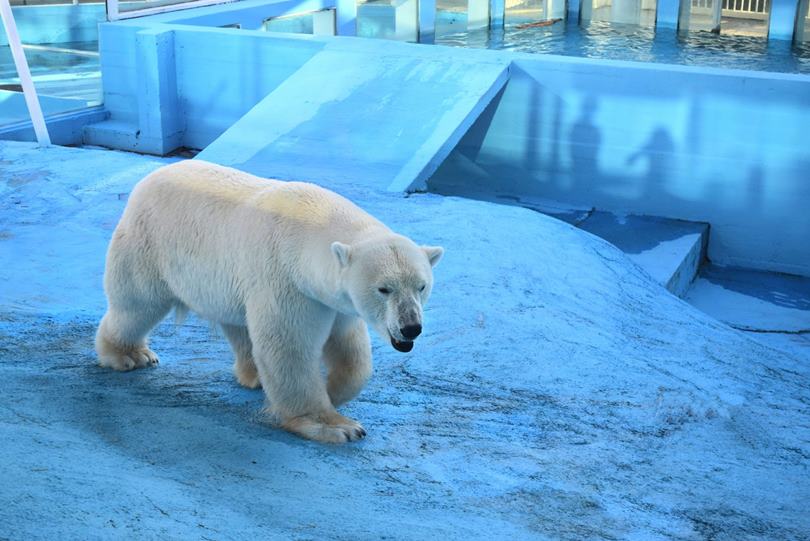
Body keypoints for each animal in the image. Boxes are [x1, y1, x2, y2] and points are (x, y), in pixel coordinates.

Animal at [98, 160, 446, 442]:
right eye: (384, 289)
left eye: (421, 286)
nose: (411, 327)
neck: (308, 230)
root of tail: (147, 179)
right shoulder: (285, 278)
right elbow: (289, 346)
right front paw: (336, 426)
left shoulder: (332, 298)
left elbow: (351, 349)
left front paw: (332, 389)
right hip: (149, 244)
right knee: (136, 305)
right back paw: (129, 355)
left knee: (239, 324)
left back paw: (253, 376)